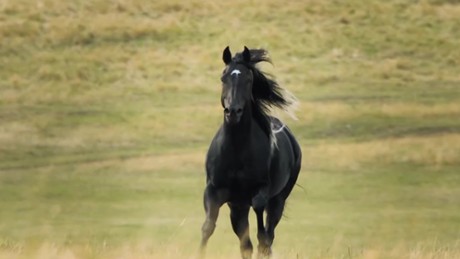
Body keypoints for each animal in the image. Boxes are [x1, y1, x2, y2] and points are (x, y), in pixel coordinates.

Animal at [200, 47, 302, 259]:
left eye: (248, 78)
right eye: (223, 77)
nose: (233, 111)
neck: (236, 151)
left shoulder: (261, 191)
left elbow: (261, 231)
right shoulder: (214, 191)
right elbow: (208, 227)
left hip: (278, 199)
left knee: (268, 234)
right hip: (237, 206)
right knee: (245, 243)